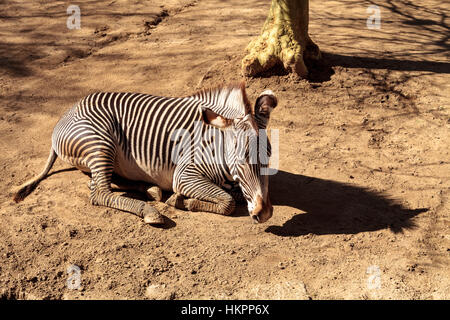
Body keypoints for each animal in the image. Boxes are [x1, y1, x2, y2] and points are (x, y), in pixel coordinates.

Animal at [11, 84, 278, 226]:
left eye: (269, 155)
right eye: (241, 158)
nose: (264, 214)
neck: (215, 142)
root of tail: (68, 112)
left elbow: (234, 193)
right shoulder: (185, 175)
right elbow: (228, 201)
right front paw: (182, 201)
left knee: (103, 182)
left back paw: (151, 190)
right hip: (101, 141)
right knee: (100, 193)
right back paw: (149, 210)